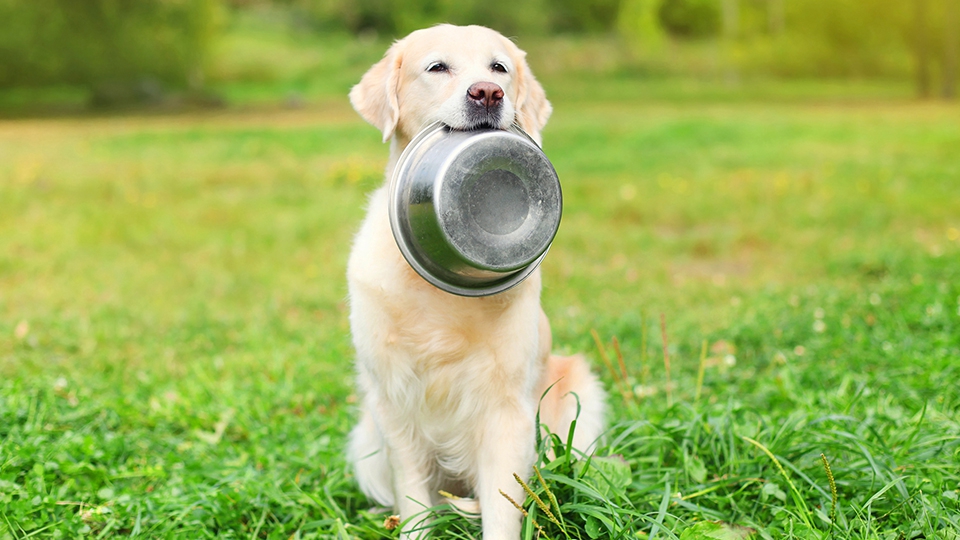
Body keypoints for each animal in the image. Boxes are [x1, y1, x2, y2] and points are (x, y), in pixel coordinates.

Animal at [344, 25, 604, 540]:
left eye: (498, 67)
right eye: (437, 67)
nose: (487, 93)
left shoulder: (507, 409)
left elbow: (503, 508)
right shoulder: (394, 403)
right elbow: (414, 500)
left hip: (579, 395)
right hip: (366, 441)